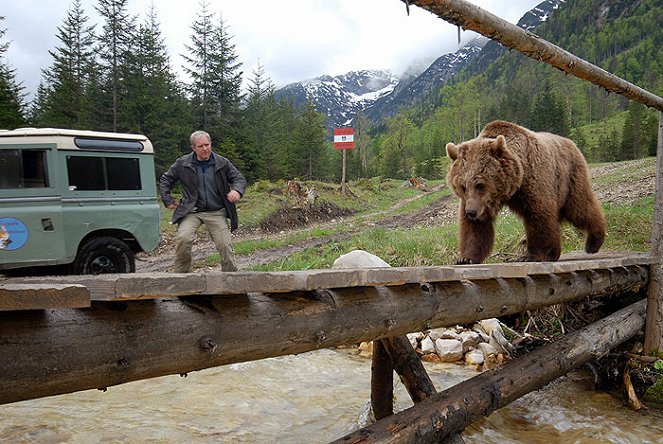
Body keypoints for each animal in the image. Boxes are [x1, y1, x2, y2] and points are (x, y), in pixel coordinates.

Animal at [446, 120, 608, 264]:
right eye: (462, 186)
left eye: (480, 184)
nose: (471, 212)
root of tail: (571, 142)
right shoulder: (478, 202)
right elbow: (475, 229)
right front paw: (465, 258)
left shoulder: (534, 181)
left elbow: (539, 217)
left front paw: (530, 256)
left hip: (570, 178)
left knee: (580, 207)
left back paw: (594, 241)